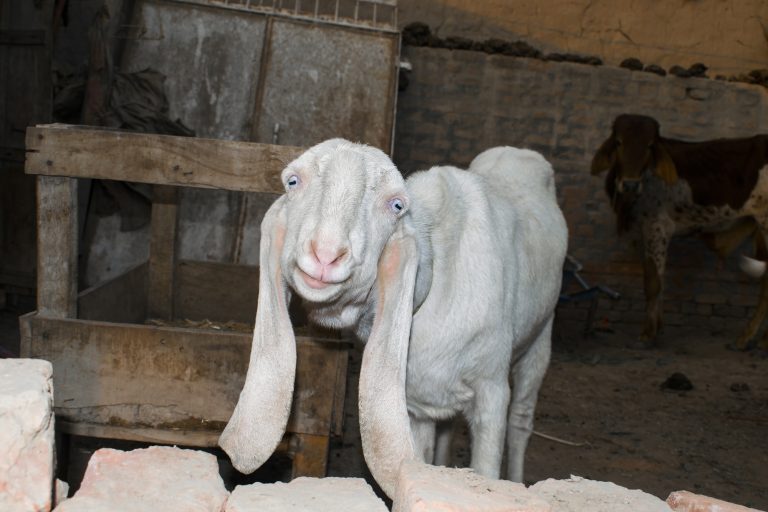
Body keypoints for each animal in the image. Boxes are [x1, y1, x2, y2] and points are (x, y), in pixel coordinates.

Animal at [219, 140, 568, 497]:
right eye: (292, 181)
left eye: (396, 205)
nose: (326, 254)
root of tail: (515, 150)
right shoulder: (415, 406)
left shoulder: (491, 390)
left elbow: (486, 469)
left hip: (541, 335)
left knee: (521, 418)